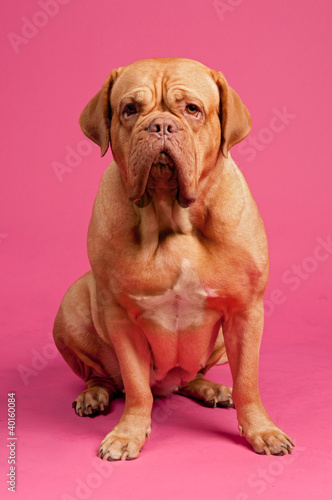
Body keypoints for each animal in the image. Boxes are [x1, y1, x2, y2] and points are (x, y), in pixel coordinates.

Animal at [53, 56, 294, 458]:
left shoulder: (246, 312)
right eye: (129, 109)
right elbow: (136, 388)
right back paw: (94, 396)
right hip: (71, 308)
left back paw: (212, 389)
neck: (171, 217)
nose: (161, 125)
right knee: (104, 376)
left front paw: (262, 430)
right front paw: (128, 434)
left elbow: (247, 380)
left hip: (219, 342)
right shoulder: (121, 318)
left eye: (192, 109)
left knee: (192, 376)